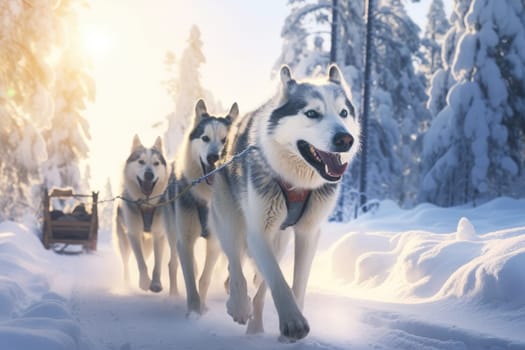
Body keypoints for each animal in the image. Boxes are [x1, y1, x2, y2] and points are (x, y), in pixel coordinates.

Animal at [114, 136, 168, 292]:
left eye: (156, 163)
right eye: (141, 161)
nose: (149, 174)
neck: (146, 204)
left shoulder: (159, 234)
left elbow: (157, 262)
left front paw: (155, 283)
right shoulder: (133, 233)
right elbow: (140, 261)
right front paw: (144, 282)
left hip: (148, 244)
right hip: (123, 240)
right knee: (126, 261)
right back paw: (127, 284)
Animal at [168, 100, 237, 316]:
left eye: (225, 140)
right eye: (205, 138)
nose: (214, 157)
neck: (206, 197)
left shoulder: (214, 241)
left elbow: (204, 279)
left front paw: (202, 308)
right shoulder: (185, 240)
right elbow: (190, 279)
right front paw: (193, 313)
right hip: (172, 233)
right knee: (172, 264)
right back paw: (172, 295)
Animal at [209, 65, 360, 340]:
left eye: (343, 113)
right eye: (312, 113)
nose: (345, 139)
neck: (296, 183)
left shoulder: (308, 233)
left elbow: (295, 283)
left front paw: (292, 321)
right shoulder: (258, 232)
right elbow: (278, 280)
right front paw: (292, 321)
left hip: (279, 240)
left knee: (260, 286)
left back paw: (256, 327)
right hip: (230, 219)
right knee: (235, 261)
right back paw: (238, 305)